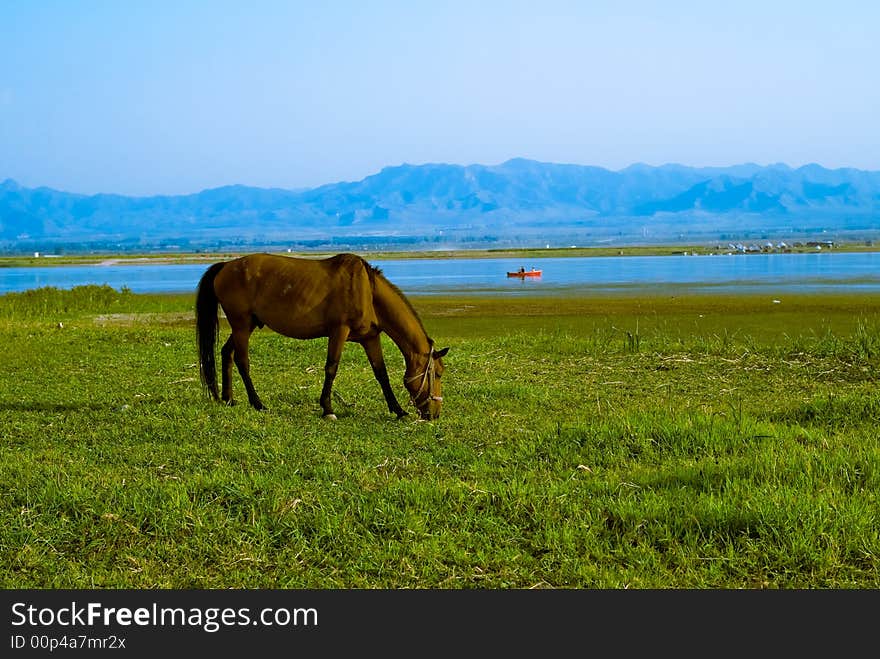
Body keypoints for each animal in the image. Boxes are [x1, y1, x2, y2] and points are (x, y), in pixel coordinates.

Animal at [195, 255, 450, 420]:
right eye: (437, 373)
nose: (435, 414)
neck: (369, 292)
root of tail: (225, 266)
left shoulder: (370, 338)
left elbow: (381, 373)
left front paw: (398, 410)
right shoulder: (339, 330)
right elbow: (331, 368)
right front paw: (328, 409)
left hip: (246, 325)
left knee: (226, 353)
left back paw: (228, 398)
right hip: (241, 324)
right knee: (242, 361)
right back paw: (257, 403)